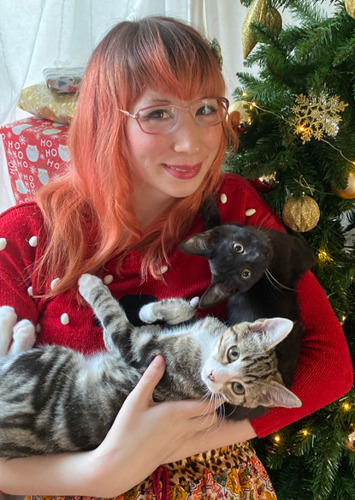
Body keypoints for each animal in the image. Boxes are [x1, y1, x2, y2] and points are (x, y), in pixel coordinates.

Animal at [0, 274, 302, 458]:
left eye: (238, 388)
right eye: (233, 352)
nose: (213, 375)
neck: (203, 347)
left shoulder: (141, 351)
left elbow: (115, 321)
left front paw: (90, 285)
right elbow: (183, 313)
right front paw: (156, 310)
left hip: (48, 364)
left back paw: (15, 323)